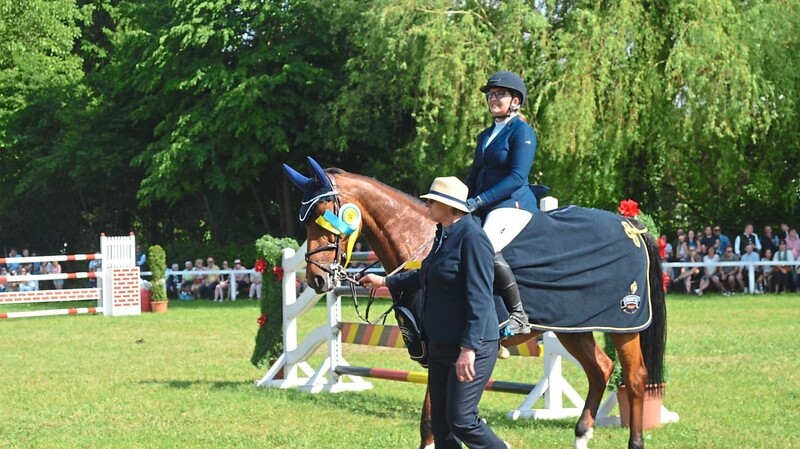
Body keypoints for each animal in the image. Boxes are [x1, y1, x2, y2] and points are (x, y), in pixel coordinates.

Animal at [284, 157, 664, 448]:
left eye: (323, 213)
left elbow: (435, 421)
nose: (317, 279)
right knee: (601, 369)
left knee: (634, 378)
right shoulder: (434, 352)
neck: (426, 241)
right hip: (575, 326)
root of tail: (630, 225)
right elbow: (431, 423)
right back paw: (581, 435)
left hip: (623, 325)